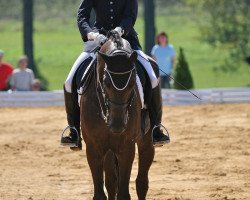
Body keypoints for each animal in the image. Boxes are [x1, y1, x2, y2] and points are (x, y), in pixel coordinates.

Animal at [80, 32, 154, 199]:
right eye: (106, 82)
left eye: (132, 82)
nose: (117, 125)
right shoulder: (93, 148)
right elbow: (101, 192)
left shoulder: (126, 147)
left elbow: (124, 193)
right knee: (111, 182)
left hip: (146, 140)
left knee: (142, 182)